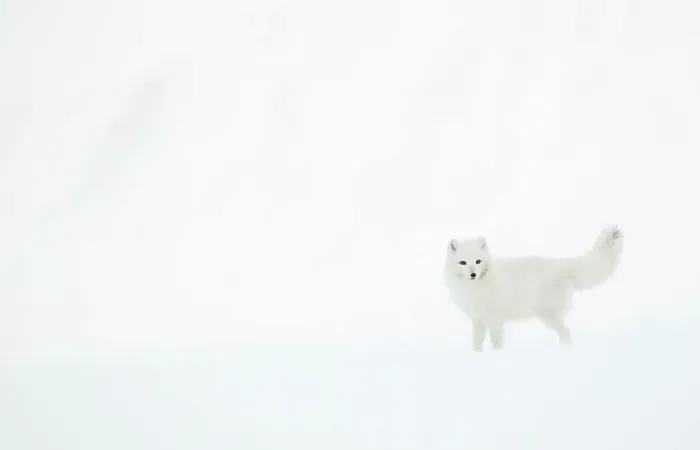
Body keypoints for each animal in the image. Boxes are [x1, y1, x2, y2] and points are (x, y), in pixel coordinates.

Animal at [443, 225, 624, 351]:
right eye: (463, 262)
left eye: (478, 261)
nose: (473, 274)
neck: (476, 288)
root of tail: (561, 264)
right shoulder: (478, 319)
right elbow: (477, 342)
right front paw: (477, 355)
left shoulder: (495, 318)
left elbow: (496, 341)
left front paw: (497, 354)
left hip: (548, 315)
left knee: (566, 332)